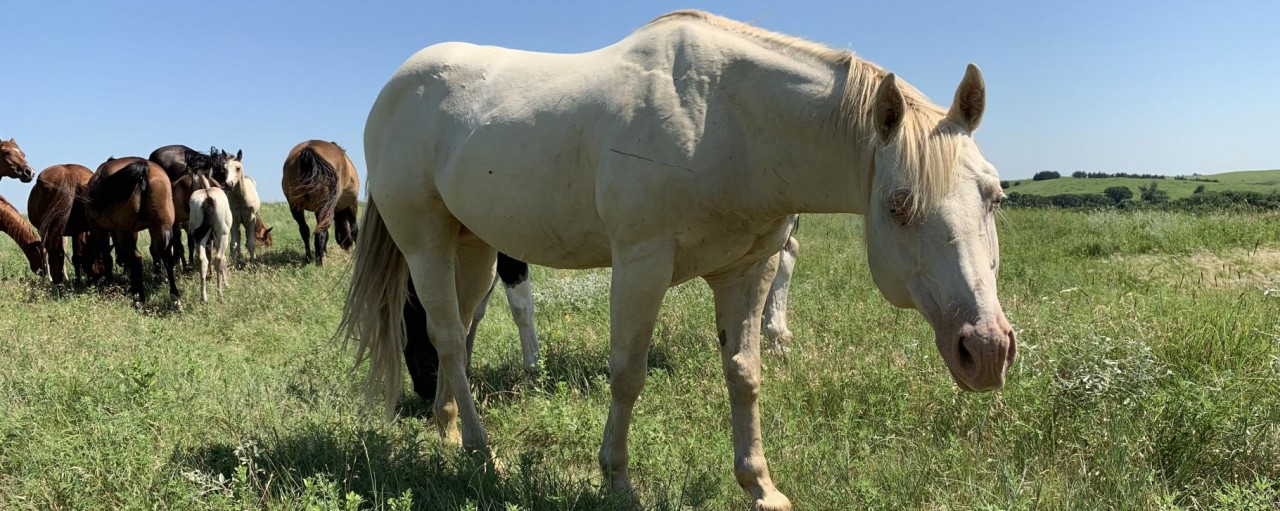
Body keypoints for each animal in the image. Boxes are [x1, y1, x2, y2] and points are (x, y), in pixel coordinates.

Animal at [83, 156, 180, 307]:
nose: (90, 282)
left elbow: (106, 256)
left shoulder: (101, 230)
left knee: (136, 258)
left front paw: (111, 283)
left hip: (124, 230)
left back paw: (139, 298)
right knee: (167, 257)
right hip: (162, 226)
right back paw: (175, 298)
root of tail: (144, 167)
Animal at [341, 11, 1014, 510]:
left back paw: (449, 428)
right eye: (899, 205)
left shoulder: (749, 270)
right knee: (450, 339)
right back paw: (484, 455)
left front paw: (760, 486)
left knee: (458, 335)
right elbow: (627, 374)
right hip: (426, 242)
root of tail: (395, 87)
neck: (728, 119)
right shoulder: (641, 264)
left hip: (474, 246)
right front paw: (617, 483)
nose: (986, 350)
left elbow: (744, 373)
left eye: (994, 195)